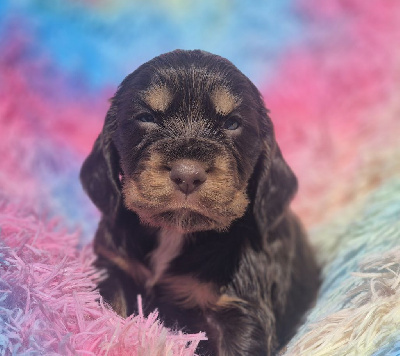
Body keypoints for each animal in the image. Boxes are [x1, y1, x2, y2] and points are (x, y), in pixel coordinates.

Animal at [80, 48, 318, 354]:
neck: (175, 233)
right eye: (146, 117)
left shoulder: (239, 311)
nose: (187, 175)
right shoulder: (114, 269)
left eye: (232, 123)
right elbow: (111, 315)